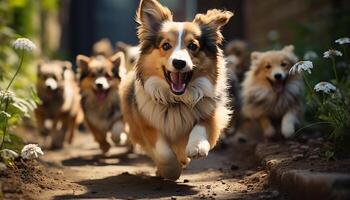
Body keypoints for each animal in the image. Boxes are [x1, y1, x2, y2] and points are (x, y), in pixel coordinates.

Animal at [119, 0, 234, 180]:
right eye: (166, 45)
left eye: (193, 46)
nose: (179, 63)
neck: (177, 100)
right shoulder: (146, 124)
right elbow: (164, 152)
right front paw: (171, 171)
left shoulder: (212, 112)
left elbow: (202, 125)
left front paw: (197, 147)